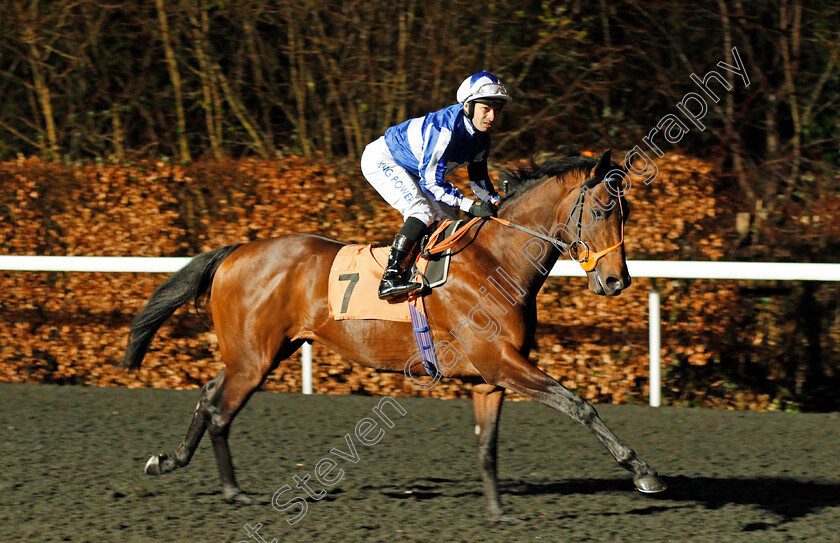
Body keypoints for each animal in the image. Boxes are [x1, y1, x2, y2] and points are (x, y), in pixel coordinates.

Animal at [124, 150, 668, 524]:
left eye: (626, 213)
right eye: (601, 210)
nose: (618, 281)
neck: (496, 260)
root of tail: (236, 251)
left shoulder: (489, 375)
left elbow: (487, 445)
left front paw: (498, 512)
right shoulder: (501, 361)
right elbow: (580, 405)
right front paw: (643, 471)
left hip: (262, 351)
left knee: (209, 393)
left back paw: (169, 461)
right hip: (254, 357)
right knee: (220, 407)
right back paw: (232, 491)